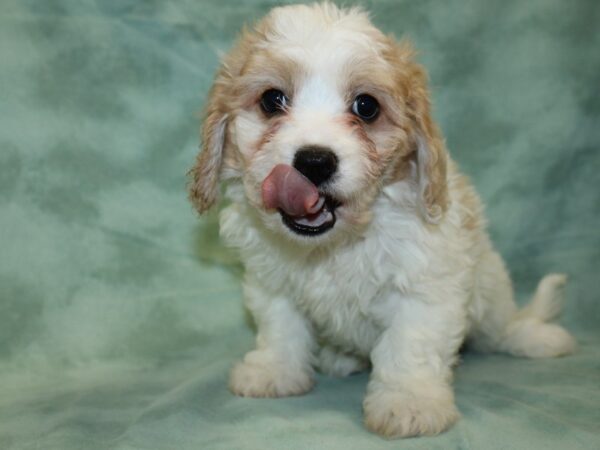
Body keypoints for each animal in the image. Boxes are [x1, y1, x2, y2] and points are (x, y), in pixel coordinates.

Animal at [189, 3, 576, 438]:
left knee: (500, 327)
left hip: (490, 289)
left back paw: (531, 336)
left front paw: (409, 401)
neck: (335, 244)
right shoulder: (271, 282)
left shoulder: (426, 284)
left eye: (366, 107)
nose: (314, 161)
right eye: (272, 100)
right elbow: (280, 327)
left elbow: (410, 345)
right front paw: (275, 372)